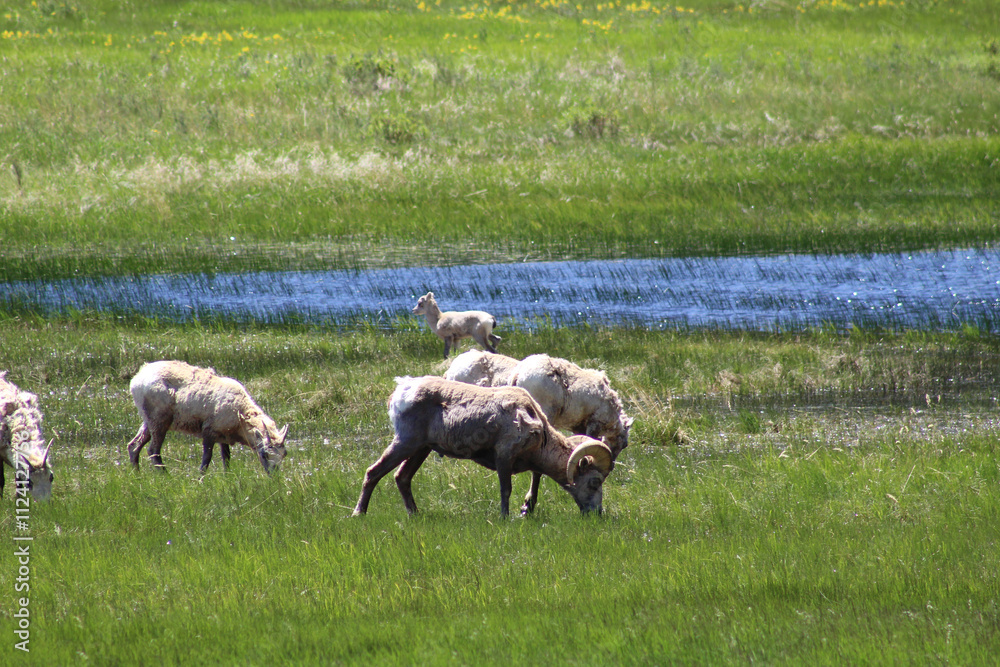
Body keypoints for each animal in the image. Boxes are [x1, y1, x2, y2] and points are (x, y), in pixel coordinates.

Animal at [126, 360, 288, 474]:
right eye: (264, 454)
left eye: (284, 454)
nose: (274, 475)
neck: (240, 417)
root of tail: (135, 380)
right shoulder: (209, 431)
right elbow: (206, 460)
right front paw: (200, 480)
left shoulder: (223, 436)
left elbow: (226, 459)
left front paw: (228, 477)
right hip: (159, 419)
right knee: (153, 450)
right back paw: (166, 476)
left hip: (148, 420)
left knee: (134, 445)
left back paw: (137, 475)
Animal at [352, 376, 614, 517]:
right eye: (594, 482)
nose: (597, 514)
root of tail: (401, 391)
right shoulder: (504, 457)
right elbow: (505, 490)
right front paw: (506, 518)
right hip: (406, 443)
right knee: (373, 473)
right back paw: (359, 514)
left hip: (421, 449)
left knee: (402, 478)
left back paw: (415, 515)